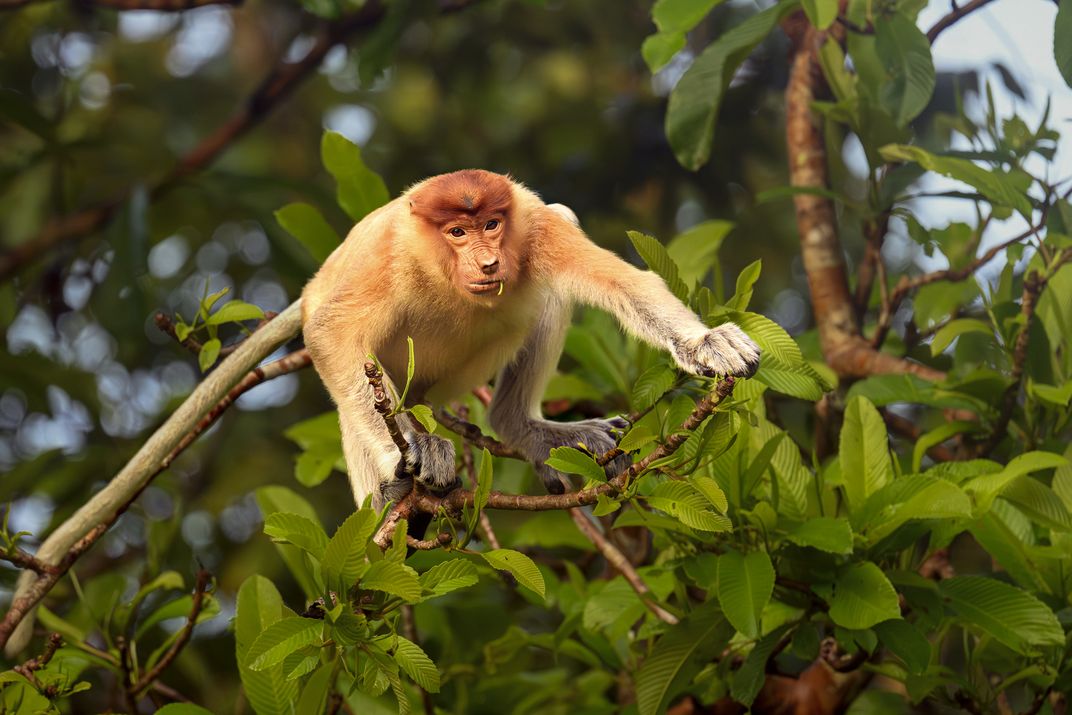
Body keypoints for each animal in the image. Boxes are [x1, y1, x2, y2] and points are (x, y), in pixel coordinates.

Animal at [301, 170, 761, 511]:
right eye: (457, 232)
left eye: (491, 224)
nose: (489, 263)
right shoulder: (390, 253)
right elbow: (330, 332)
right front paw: (414, 453)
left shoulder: (538, 227)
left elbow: (626, 284)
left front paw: (708, 343)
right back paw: (386, 499)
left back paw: (524, 427)